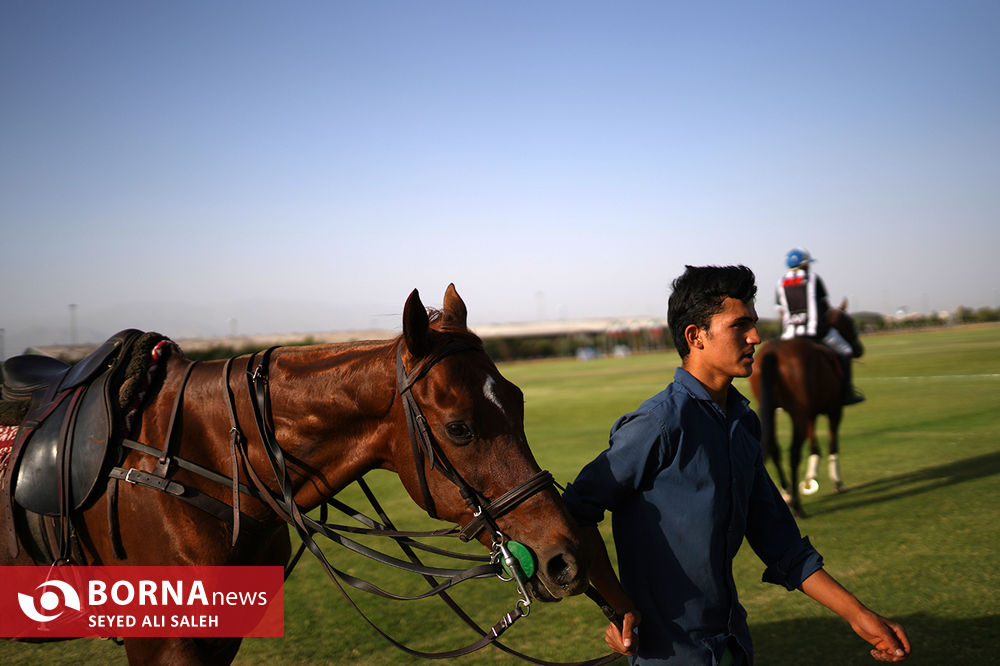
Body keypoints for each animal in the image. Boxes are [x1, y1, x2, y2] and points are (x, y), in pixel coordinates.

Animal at [748, 298, 864, 516]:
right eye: (850, 322)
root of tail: (772, 353)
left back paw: (786, 494)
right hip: (799, 414)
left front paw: (810, 479)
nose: (859, 348)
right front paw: (837, 482)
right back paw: (797, 505)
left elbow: (814, 446)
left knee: (774, 448)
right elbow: (832, 444)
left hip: (773, 410)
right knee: (793, 452)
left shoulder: (810, 413)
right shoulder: (834, 411)